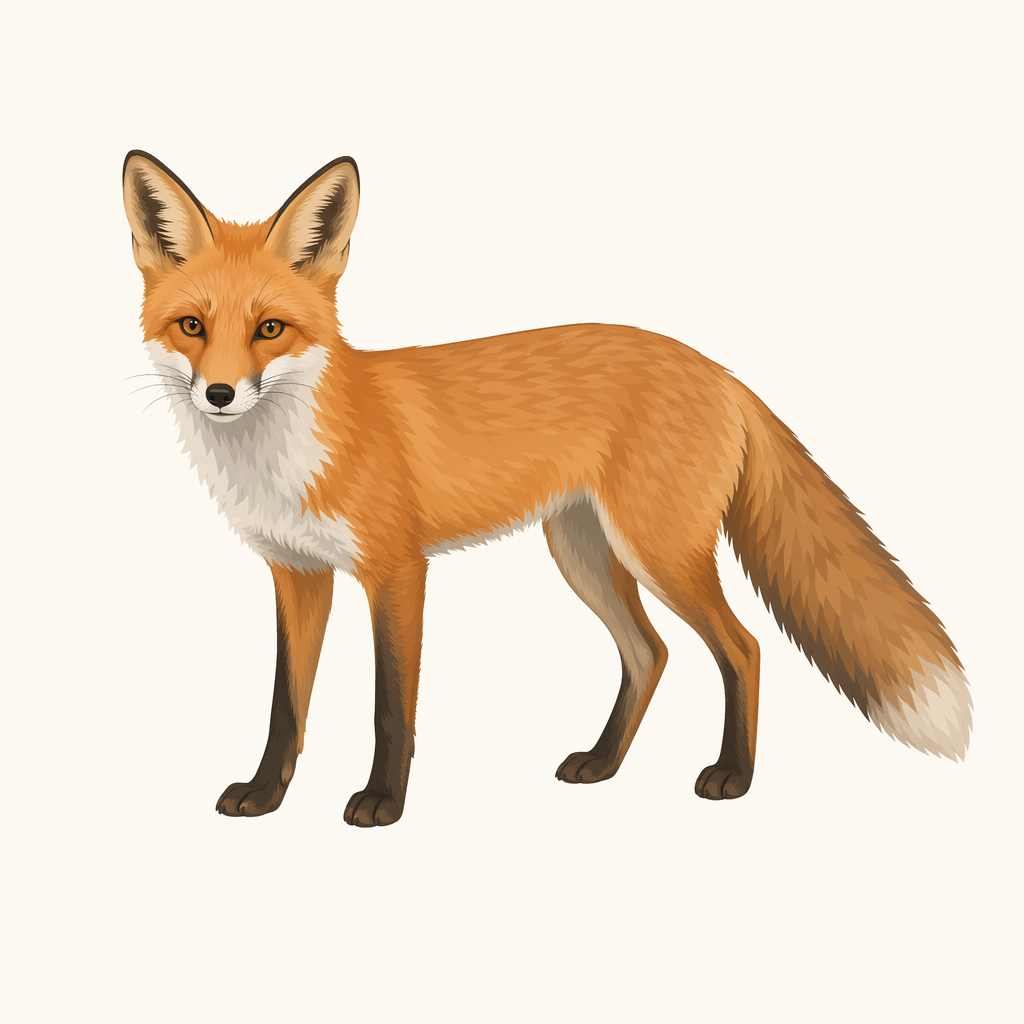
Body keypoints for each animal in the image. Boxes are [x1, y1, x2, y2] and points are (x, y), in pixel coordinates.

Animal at [123, 150, 972, 826]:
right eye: (192, 327)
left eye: (270, 329)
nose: (221, 394)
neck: (287, 451)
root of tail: (718, 369)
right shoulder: (298, 574)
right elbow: (286, 706)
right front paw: (266, 795)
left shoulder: (396, 571)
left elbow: (391, 708)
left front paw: (383, 803)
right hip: (583, 553)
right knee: (651, 653)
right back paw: (603, 764)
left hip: (660, 553)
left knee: (744, 646)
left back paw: (733, 776)